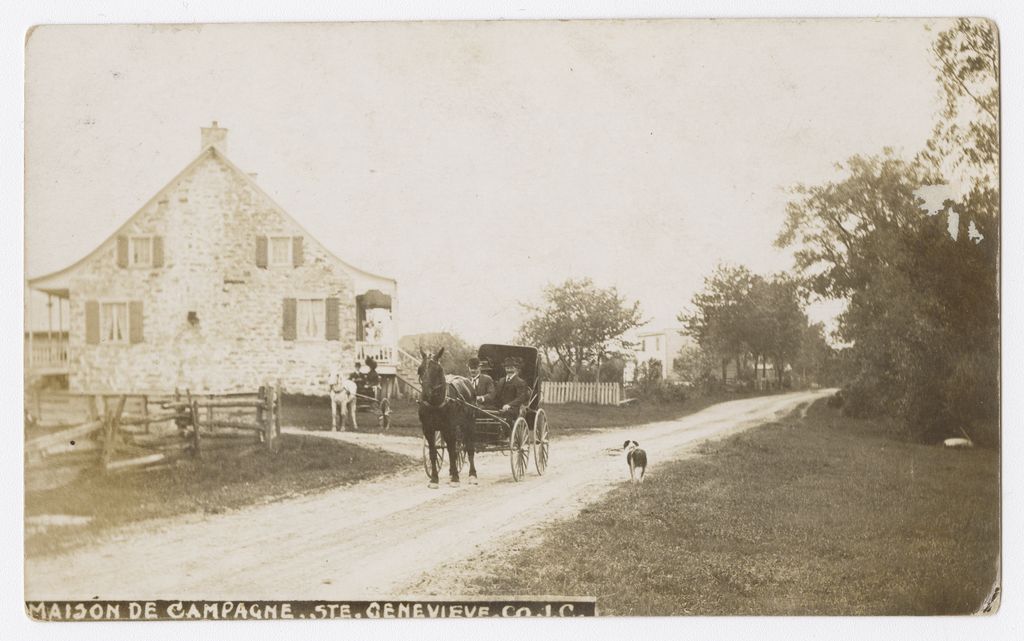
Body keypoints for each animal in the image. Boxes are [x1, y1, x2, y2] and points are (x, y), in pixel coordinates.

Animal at [417, 348, 478, 488]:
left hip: (469, 424)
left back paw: (472, 474)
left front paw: (455, 478)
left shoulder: (450, 428)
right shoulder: (428, 429)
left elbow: (452, 451)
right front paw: (434, 478)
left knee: (468, 447)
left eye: (438, 370)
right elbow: (433, 452)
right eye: (420, 369)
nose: (426, 394)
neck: (435, 404)